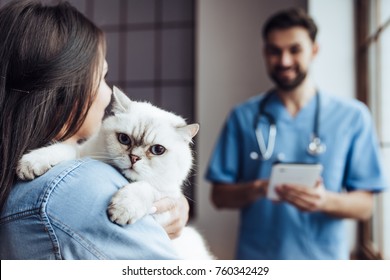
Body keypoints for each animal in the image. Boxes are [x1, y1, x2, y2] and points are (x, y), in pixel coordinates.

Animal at [17, 86, 213, 260]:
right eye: (124, 139)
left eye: (158, 150)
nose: (134, 157)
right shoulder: (83, 153)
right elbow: (63, 148)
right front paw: (30, 164)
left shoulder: (166, 198)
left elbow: (145, 187)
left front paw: (122, 209)